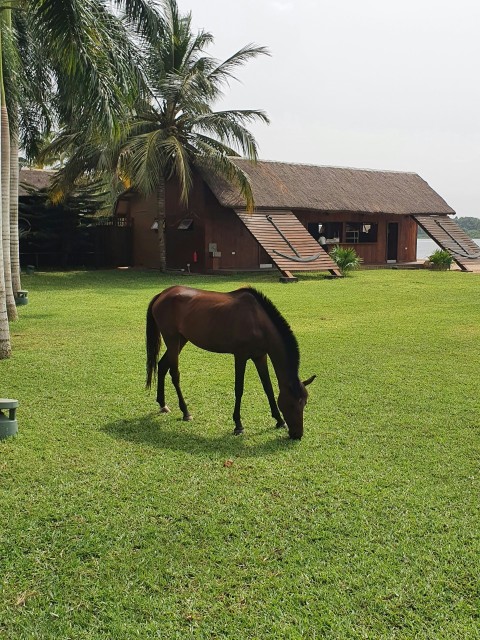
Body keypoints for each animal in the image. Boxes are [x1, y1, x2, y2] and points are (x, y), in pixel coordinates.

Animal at [145, 286, 316, 439]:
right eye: (292, 404)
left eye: (305, 403)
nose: (297, 435)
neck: (257, 321)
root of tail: (162, 294)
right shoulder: (240, 356)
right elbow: (239, 389)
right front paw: (238, 425)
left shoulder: (260, 357)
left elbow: (268, 388)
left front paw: (279, 420)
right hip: (172, 339)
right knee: (174, 374)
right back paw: (185, 412)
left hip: (181, 340)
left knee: (162, 366)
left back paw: (162, 404)